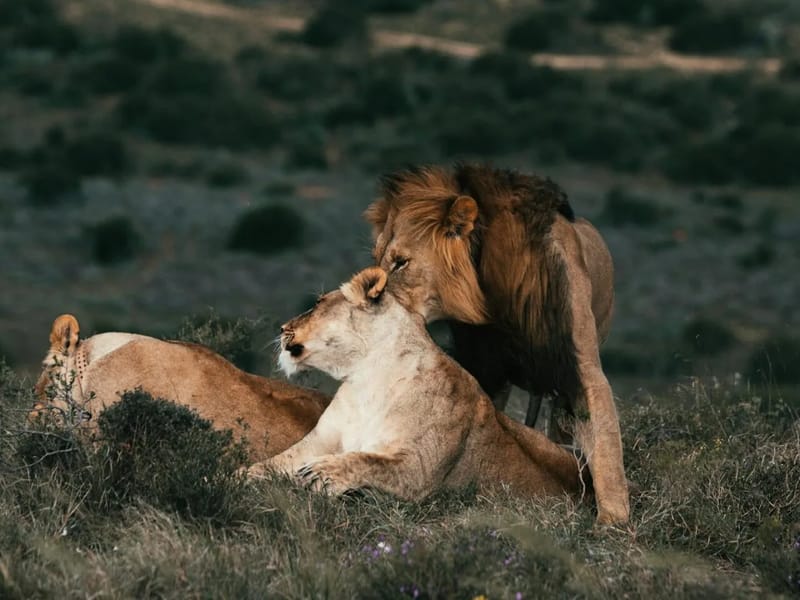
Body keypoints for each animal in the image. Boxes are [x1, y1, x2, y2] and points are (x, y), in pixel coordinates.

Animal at [247, 268, 584, 502]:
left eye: (317, 304)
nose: (283, 328)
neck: (365, 379)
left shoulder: (419, 468)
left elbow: (366, 460)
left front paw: (321, 474)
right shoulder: (319, 442)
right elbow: (274, 462)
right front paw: (241, 477)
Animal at [363, 164, 628, 525]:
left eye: (401, 261)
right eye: (376, 257)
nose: (364, 297)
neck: (492, 299)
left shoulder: (579, 366)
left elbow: (605, 439)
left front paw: (613, 521)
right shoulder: (487, 370)